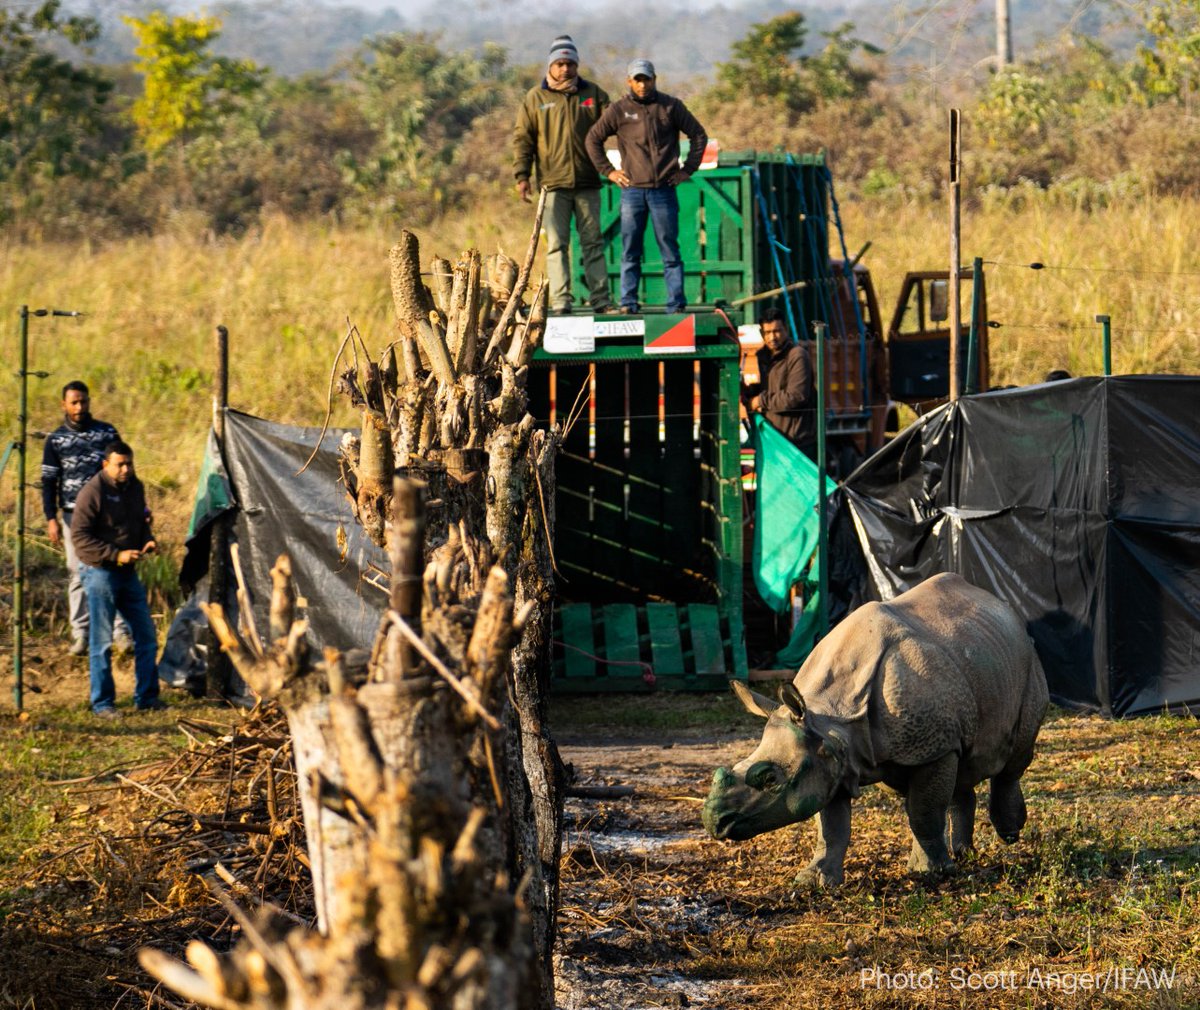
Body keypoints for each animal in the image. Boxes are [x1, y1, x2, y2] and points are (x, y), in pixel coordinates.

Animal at [700, 575, 1046, 882]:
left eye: (770, 778)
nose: (714, 821)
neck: (831, 719)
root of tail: (1003, 607)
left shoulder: (933, 748)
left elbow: (923, 812)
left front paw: (929, 874)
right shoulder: (830, 758)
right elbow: (831, 827)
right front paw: (813, 881)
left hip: (1027, 661)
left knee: (1012, 759)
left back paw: (1009, 834)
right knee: (961, 764)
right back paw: (964, 854)